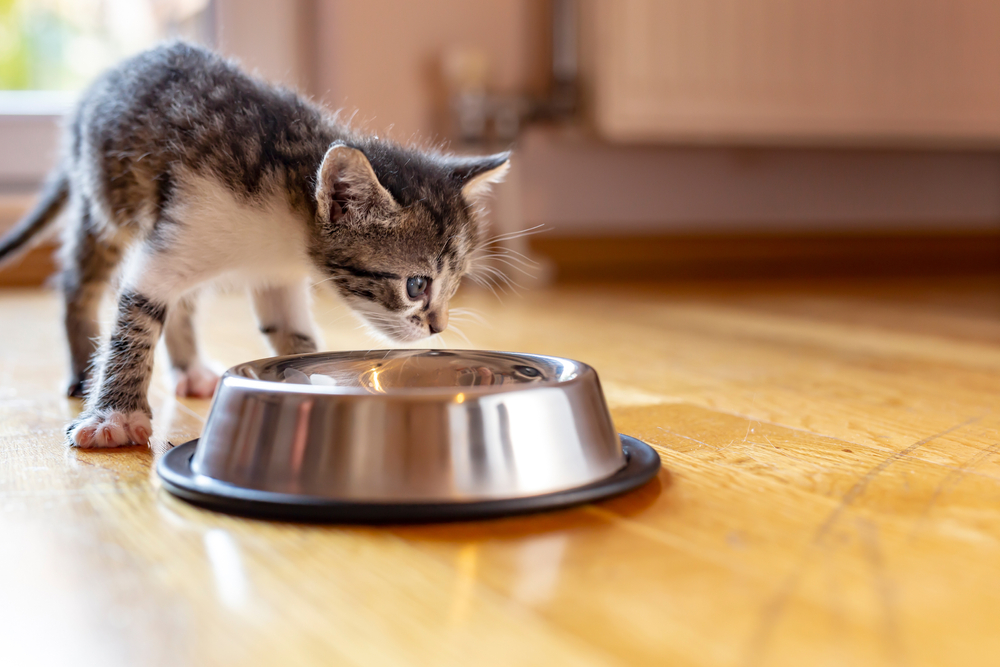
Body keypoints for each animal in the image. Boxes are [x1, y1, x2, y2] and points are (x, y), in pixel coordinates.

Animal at [0, 41, 508, 448]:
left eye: (454, 284)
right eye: (417, 285)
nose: (439, 326)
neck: (290, 208)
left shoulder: (270, 271)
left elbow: (293, 337)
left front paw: (308, 385)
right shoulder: (185, 226)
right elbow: (135, 322)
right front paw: (115, 417)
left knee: (182, 301)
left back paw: (190, 369)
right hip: (106, 204)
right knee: (78, 282)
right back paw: (83, 369)